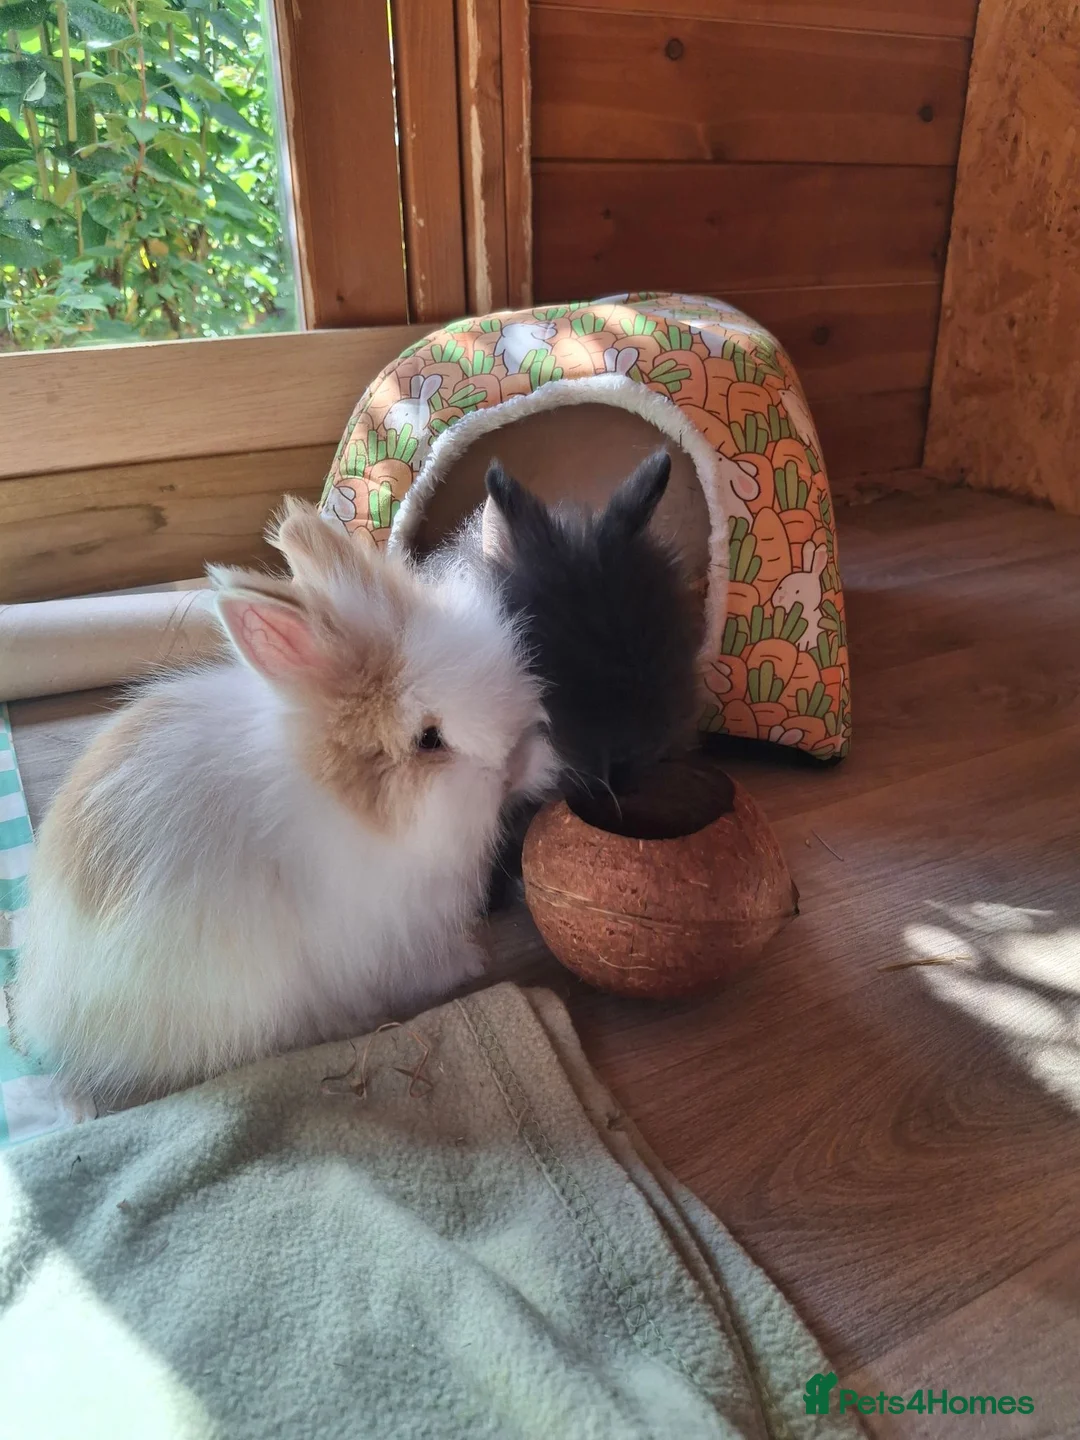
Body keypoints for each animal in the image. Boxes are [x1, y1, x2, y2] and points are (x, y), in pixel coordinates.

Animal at [9, 499, 557, 1101]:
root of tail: (49, 1008)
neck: (348, 805)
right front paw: (470, 964)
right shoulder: (387, 938)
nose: (515, 766)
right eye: (429, 740)